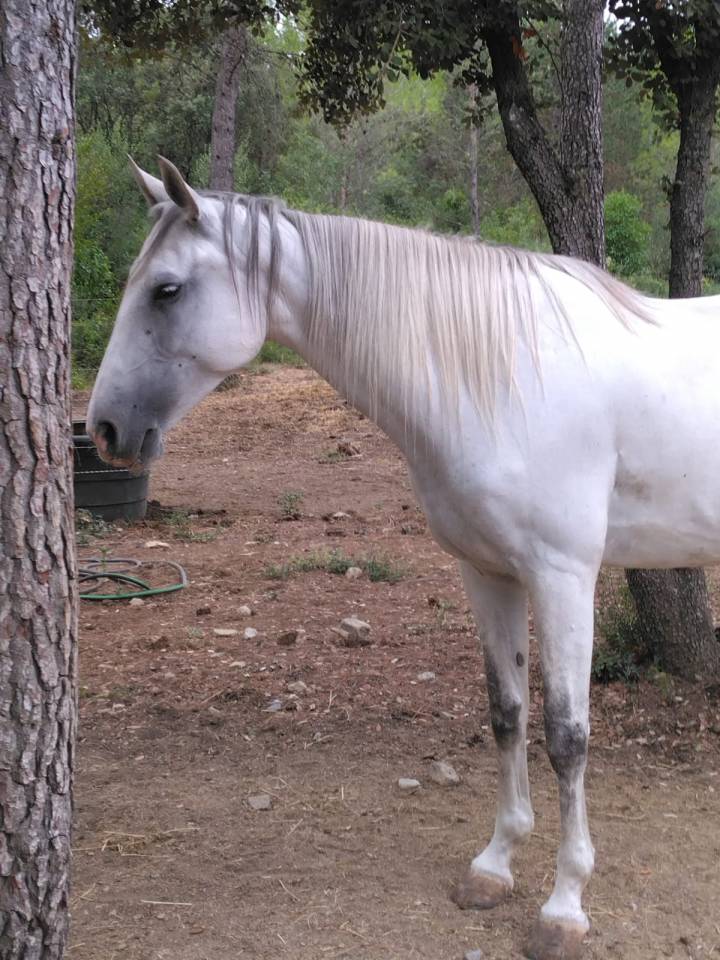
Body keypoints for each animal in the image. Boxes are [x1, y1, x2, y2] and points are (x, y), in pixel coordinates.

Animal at [87, 157, 720, 960]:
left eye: (166, 289)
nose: (104, 428)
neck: (506, 373)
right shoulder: (489, 574)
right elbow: (507, 713)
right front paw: (494, 866)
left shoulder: (564, 577)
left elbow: (567, 738)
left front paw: (564, 906)